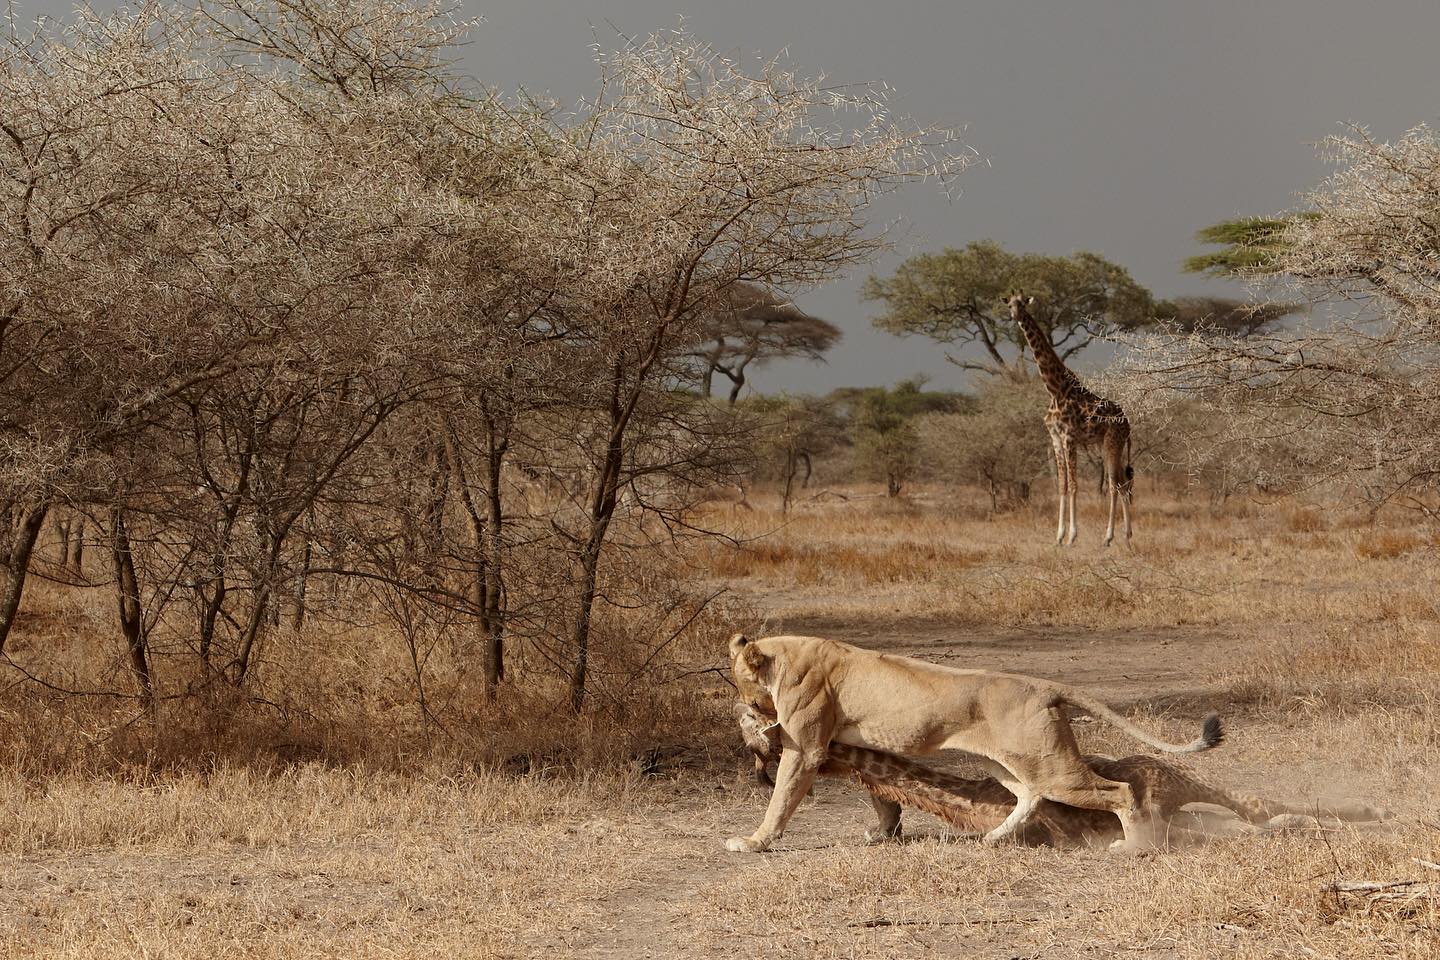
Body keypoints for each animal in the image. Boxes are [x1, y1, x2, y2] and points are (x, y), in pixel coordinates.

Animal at [725, 633, 1223, 852]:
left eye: (747, 696)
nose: (756, 715)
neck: (784, 654)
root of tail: (1044, 686)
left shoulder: (806, 748)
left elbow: (781, 800)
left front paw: (753, 841)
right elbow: (881, 795)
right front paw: (883, 831)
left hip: (1053, 768)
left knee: (1119, 792)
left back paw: (1135, 846)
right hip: (1010, 764)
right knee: (1029, 796)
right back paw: (994, 837)